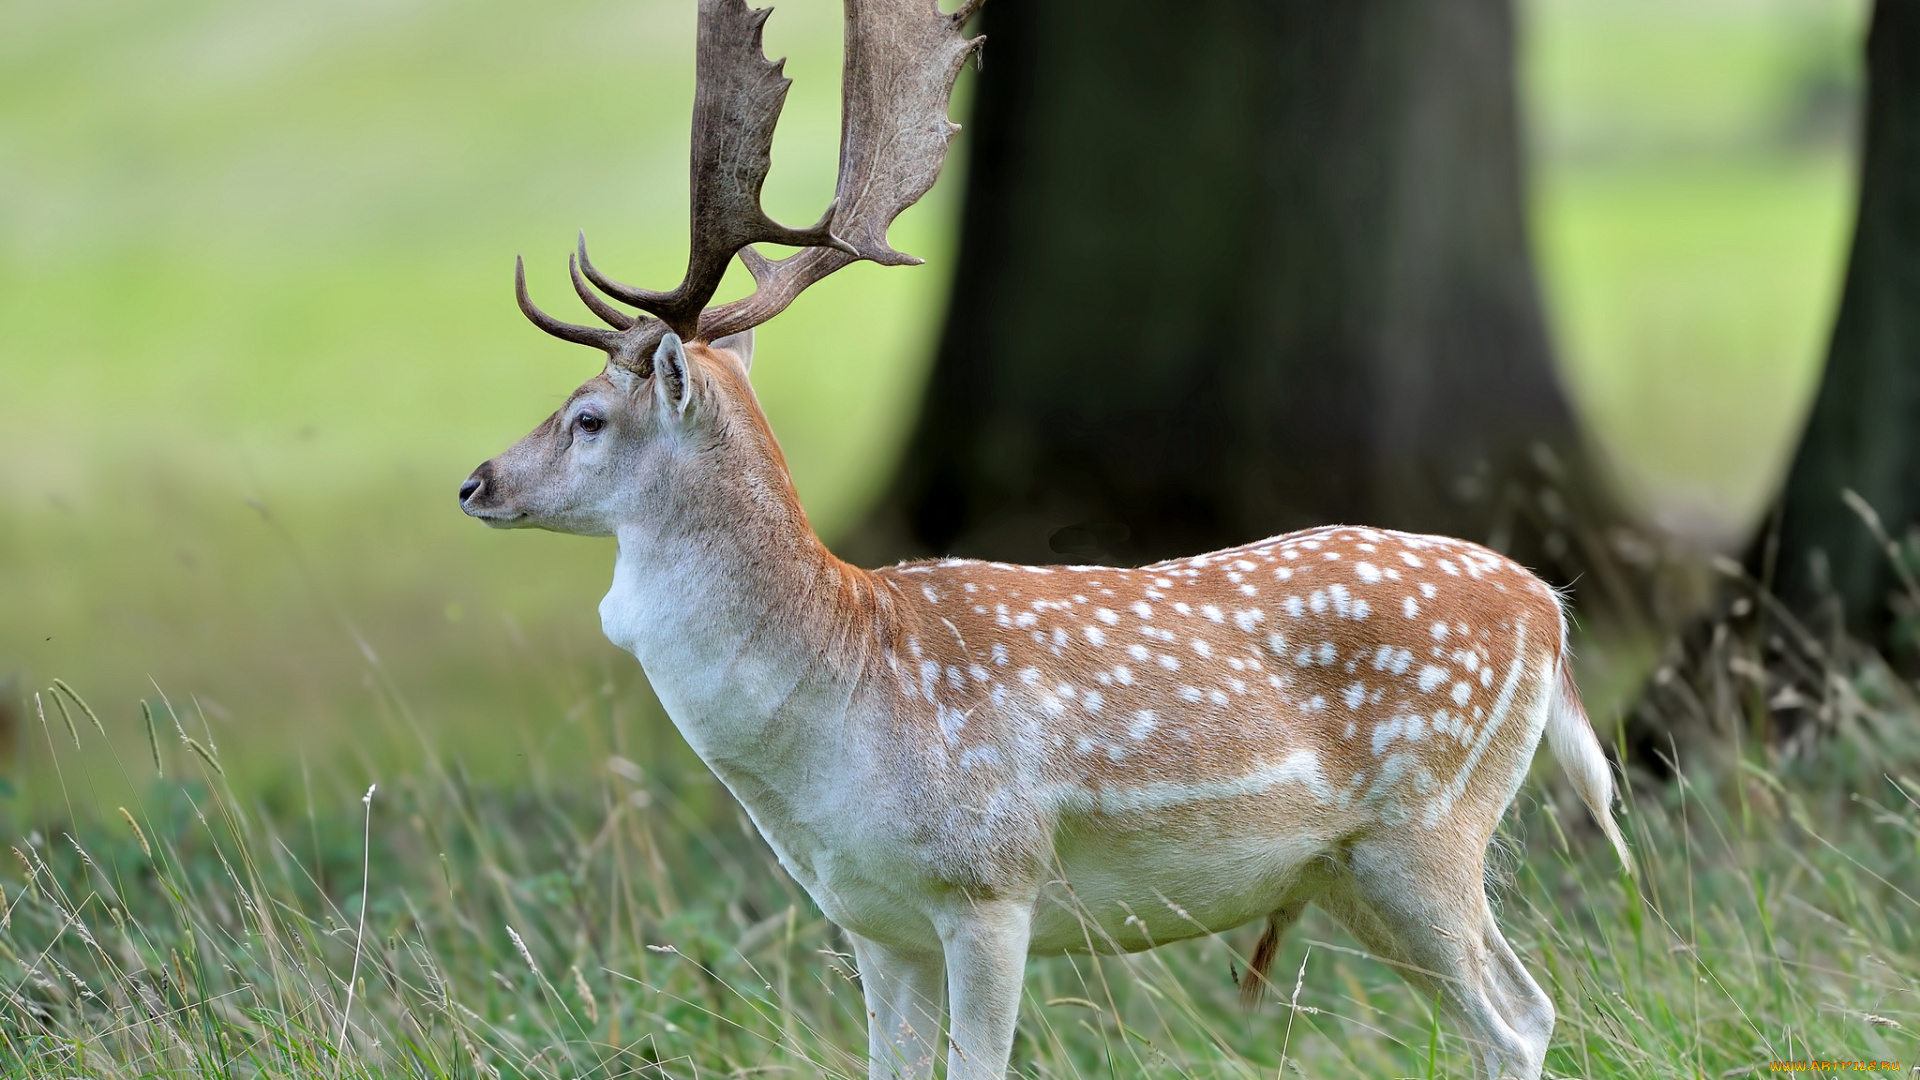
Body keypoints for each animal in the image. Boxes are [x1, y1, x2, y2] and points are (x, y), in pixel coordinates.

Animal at [456, 2, 1628, 1076]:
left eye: (587, 417)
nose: (476, 481)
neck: (843, 697)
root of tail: (1549, 607)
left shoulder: (992, 882)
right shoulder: (872, 921)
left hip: (1429, 825)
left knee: (1516, 1018)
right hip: (1347, 873)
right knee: (1519, 1003)